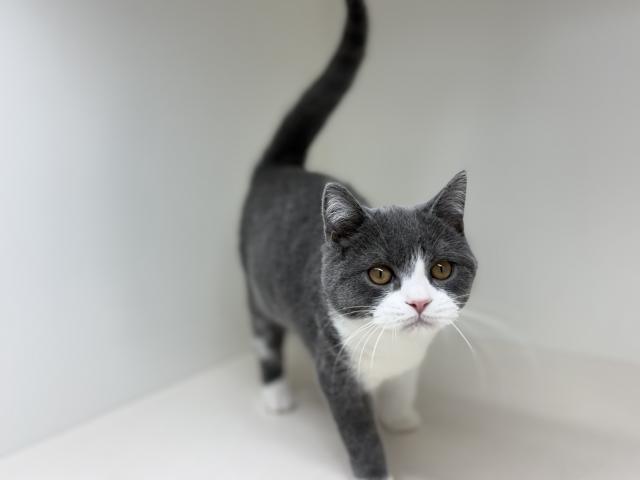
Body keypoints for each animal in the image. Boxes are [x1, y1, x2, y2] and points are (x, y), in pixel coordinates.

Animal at [239, 0, 477, 478]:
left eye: (442, 268)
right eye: (379, 274)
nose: (419, 302)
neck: (391, 347)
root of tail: (280, 167)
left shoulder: (412, 359)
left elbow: (404, 385)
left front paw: (401, 417)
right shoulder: (336, 371)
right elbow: (361, 434)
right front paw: (378, 469)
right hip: (254, 281)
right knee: (263, 332)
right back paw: (276, 395)